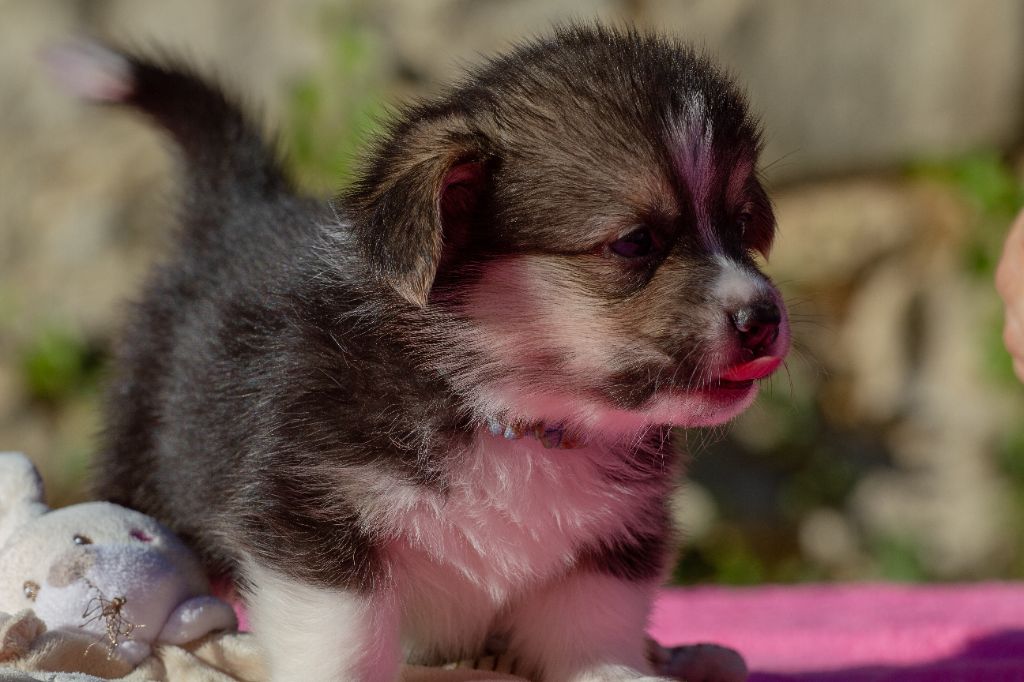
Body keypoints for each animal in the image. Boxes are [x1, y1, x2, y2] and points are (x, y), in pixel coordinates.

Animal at [46, 25, 788, 682]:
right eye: (635, 242)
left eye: (741, 224)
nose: (765, 319)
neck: (512, 415)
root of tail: (238, 212)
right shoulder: (311, 523)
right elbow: (344, 642)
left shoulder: (613, 541)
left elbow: (593, 628)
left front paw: (621, 674)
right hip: (149, 455)